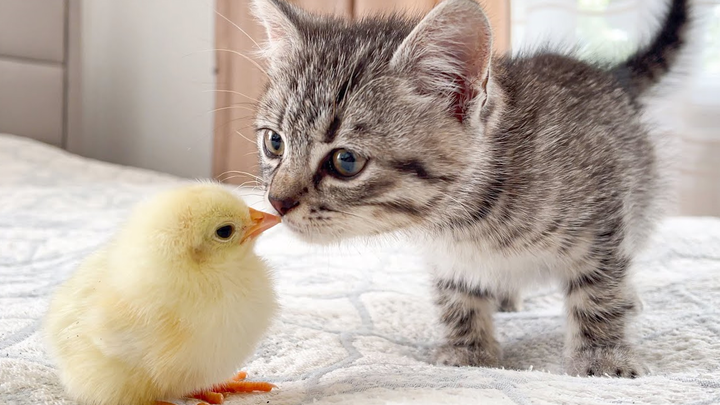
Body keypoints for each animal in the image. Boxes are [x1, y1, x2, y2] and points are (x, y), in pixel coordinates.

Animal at [250, 0, 688, 376]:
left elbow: (598, 291)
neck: (469, 222)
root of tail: (611, 76)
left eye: (346, 162)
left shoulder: (602, 216)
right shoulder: (448, 256)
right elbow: (458, 296)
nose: (277, 201)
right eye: (274, 143)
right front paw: (468, 350)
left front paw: (603, 356)